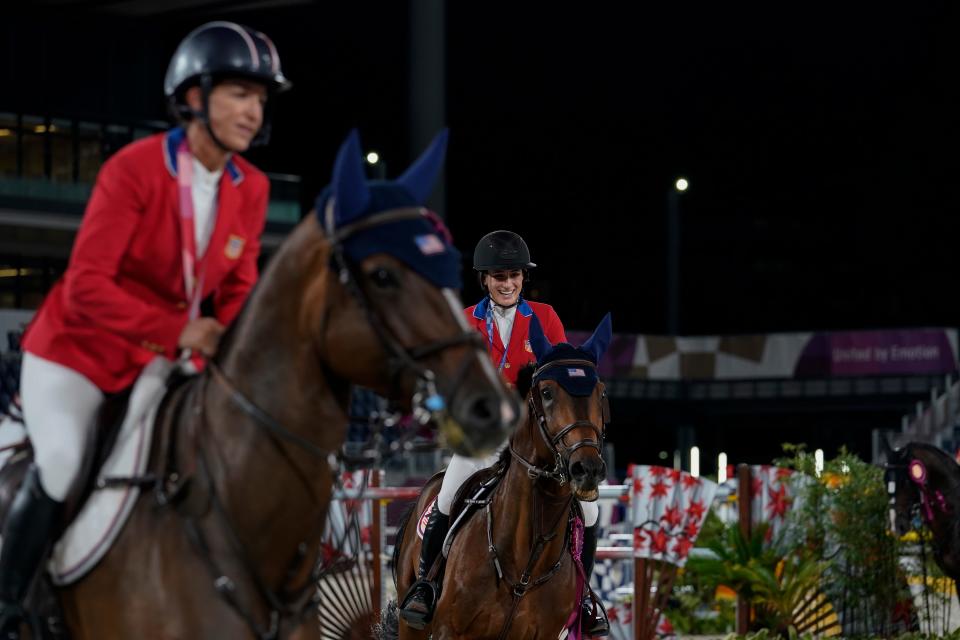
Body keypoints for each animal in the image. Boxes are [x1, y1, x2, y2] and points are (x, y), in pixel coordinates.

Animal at [386, 316, 612, 640]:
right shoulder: (449, 631)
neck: (526, 562)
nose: (587, 468)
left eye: (600, 393)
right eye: (546, 392)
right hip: (411, 622)